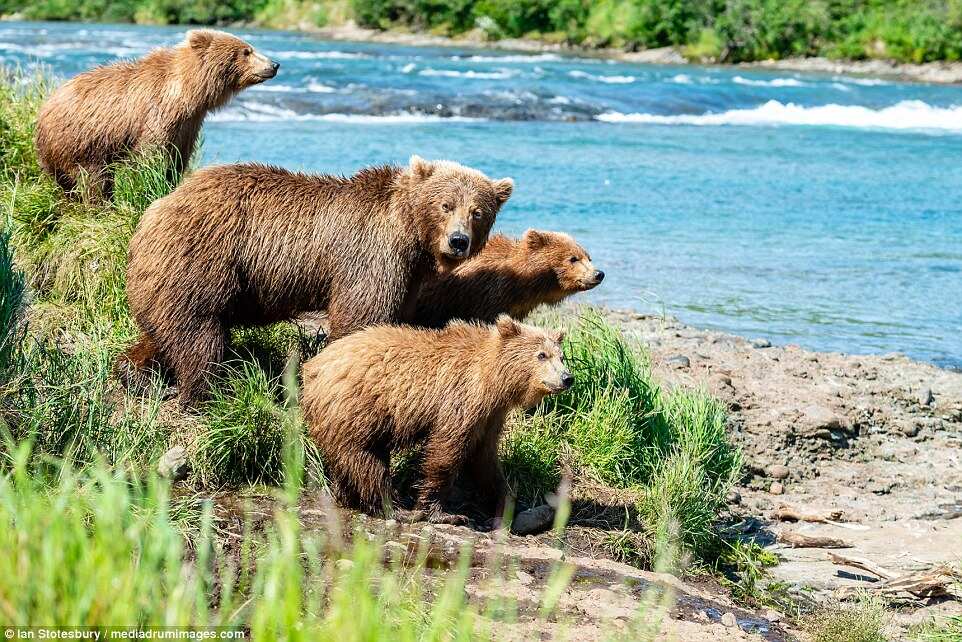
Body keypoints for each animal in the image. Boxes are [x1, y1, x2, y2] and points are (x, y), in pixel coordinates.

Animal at [35, 29, 278, 199]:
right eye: (246, 51)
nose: (274, 65)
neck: (187, 93)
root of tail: (44, 110)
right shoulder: (157, 113)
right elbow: (151, 156)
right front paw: (148, 185)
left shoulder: (189, 124)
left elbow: (177, 158)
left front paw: (170, 182)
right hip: (83, 141)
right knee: (92, 179)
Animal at [123, 156, 513, 404]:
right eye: (445, 205)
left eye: (478, 212)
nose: (458, 241)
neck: (409, 236)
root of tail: (155, 211)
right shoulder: (371, 255)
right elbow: (361, 315)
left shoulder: (407, 275)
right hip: (203, 258)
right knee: (198, 332)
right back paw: (203, 390)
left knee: (164, 331)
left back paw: (136, 370)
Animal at [301, 315, 572, 523]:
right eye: (541, 355)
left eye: (561, 356)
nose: (567, 378)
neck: (493, 381)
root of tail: (313, 366)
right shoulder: (461, 399)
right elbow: (446, 452)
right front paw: (443, 513)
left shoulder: (490, 416)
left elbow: (485, 460)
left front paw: (510, 501)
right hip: (357, 408)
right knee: (365, 459)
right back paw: (395, 508)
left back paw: (347, 496)